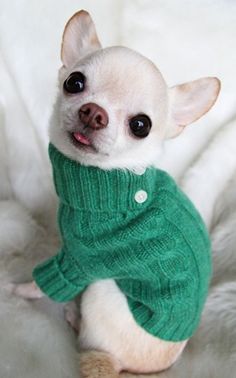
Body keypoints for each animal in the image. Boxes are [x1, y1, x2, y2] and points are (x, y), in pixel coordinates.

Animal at [12, 10, 219, 376]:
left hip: (103, 289)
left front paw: (16, 289)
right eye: (74, 82)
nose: (94, 112)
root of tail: (135, 368)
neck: (113, 181)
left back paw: (74, 315)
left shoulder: (80, 262)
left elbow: (42, 284)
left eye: (141, 126)